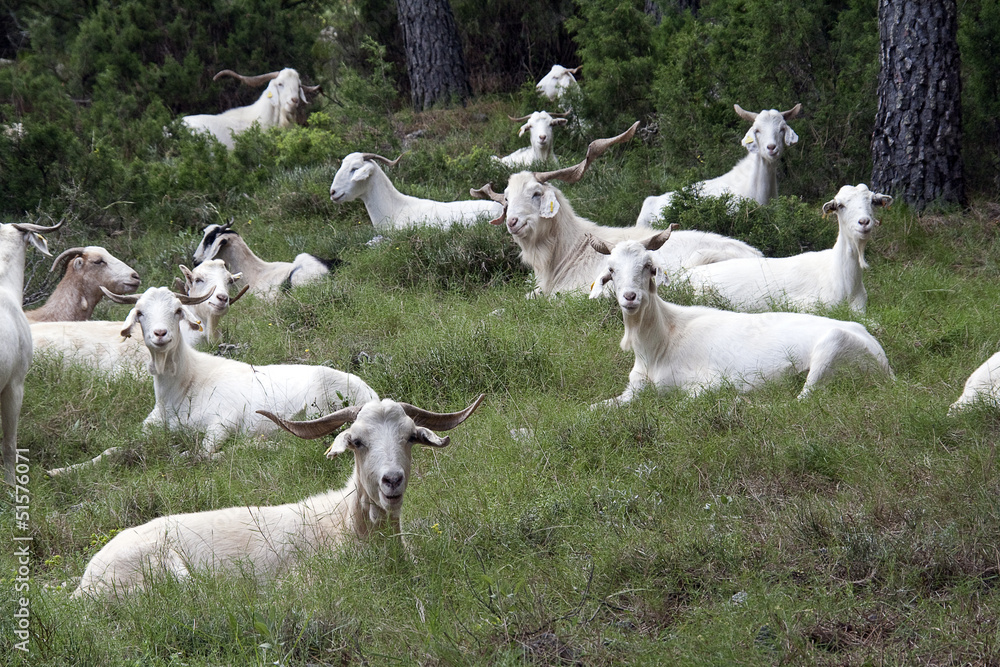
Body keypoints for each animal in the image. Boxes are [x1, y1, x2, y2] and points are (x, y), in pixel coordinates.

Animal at [97, 286, 379, 458]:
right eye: (140, 313)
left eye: (177, 310)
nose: (160, 334)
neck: (184, 387)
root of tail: (370, 393)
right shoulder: (147, 428)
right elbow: (108, 452)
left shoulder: (223, 422)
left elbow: (203, 453)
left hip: (317, 407)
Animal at [588, 233, 893, 406]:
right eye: (611, 270)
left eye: (648, 267)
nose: (630, 297)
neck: (661, 343)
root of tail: (885, 365)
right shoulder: (633, 390)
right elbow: (592, 409)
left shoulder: (711, 382)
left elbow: (682, 404)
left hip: (833, 346)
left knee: (800, 402)